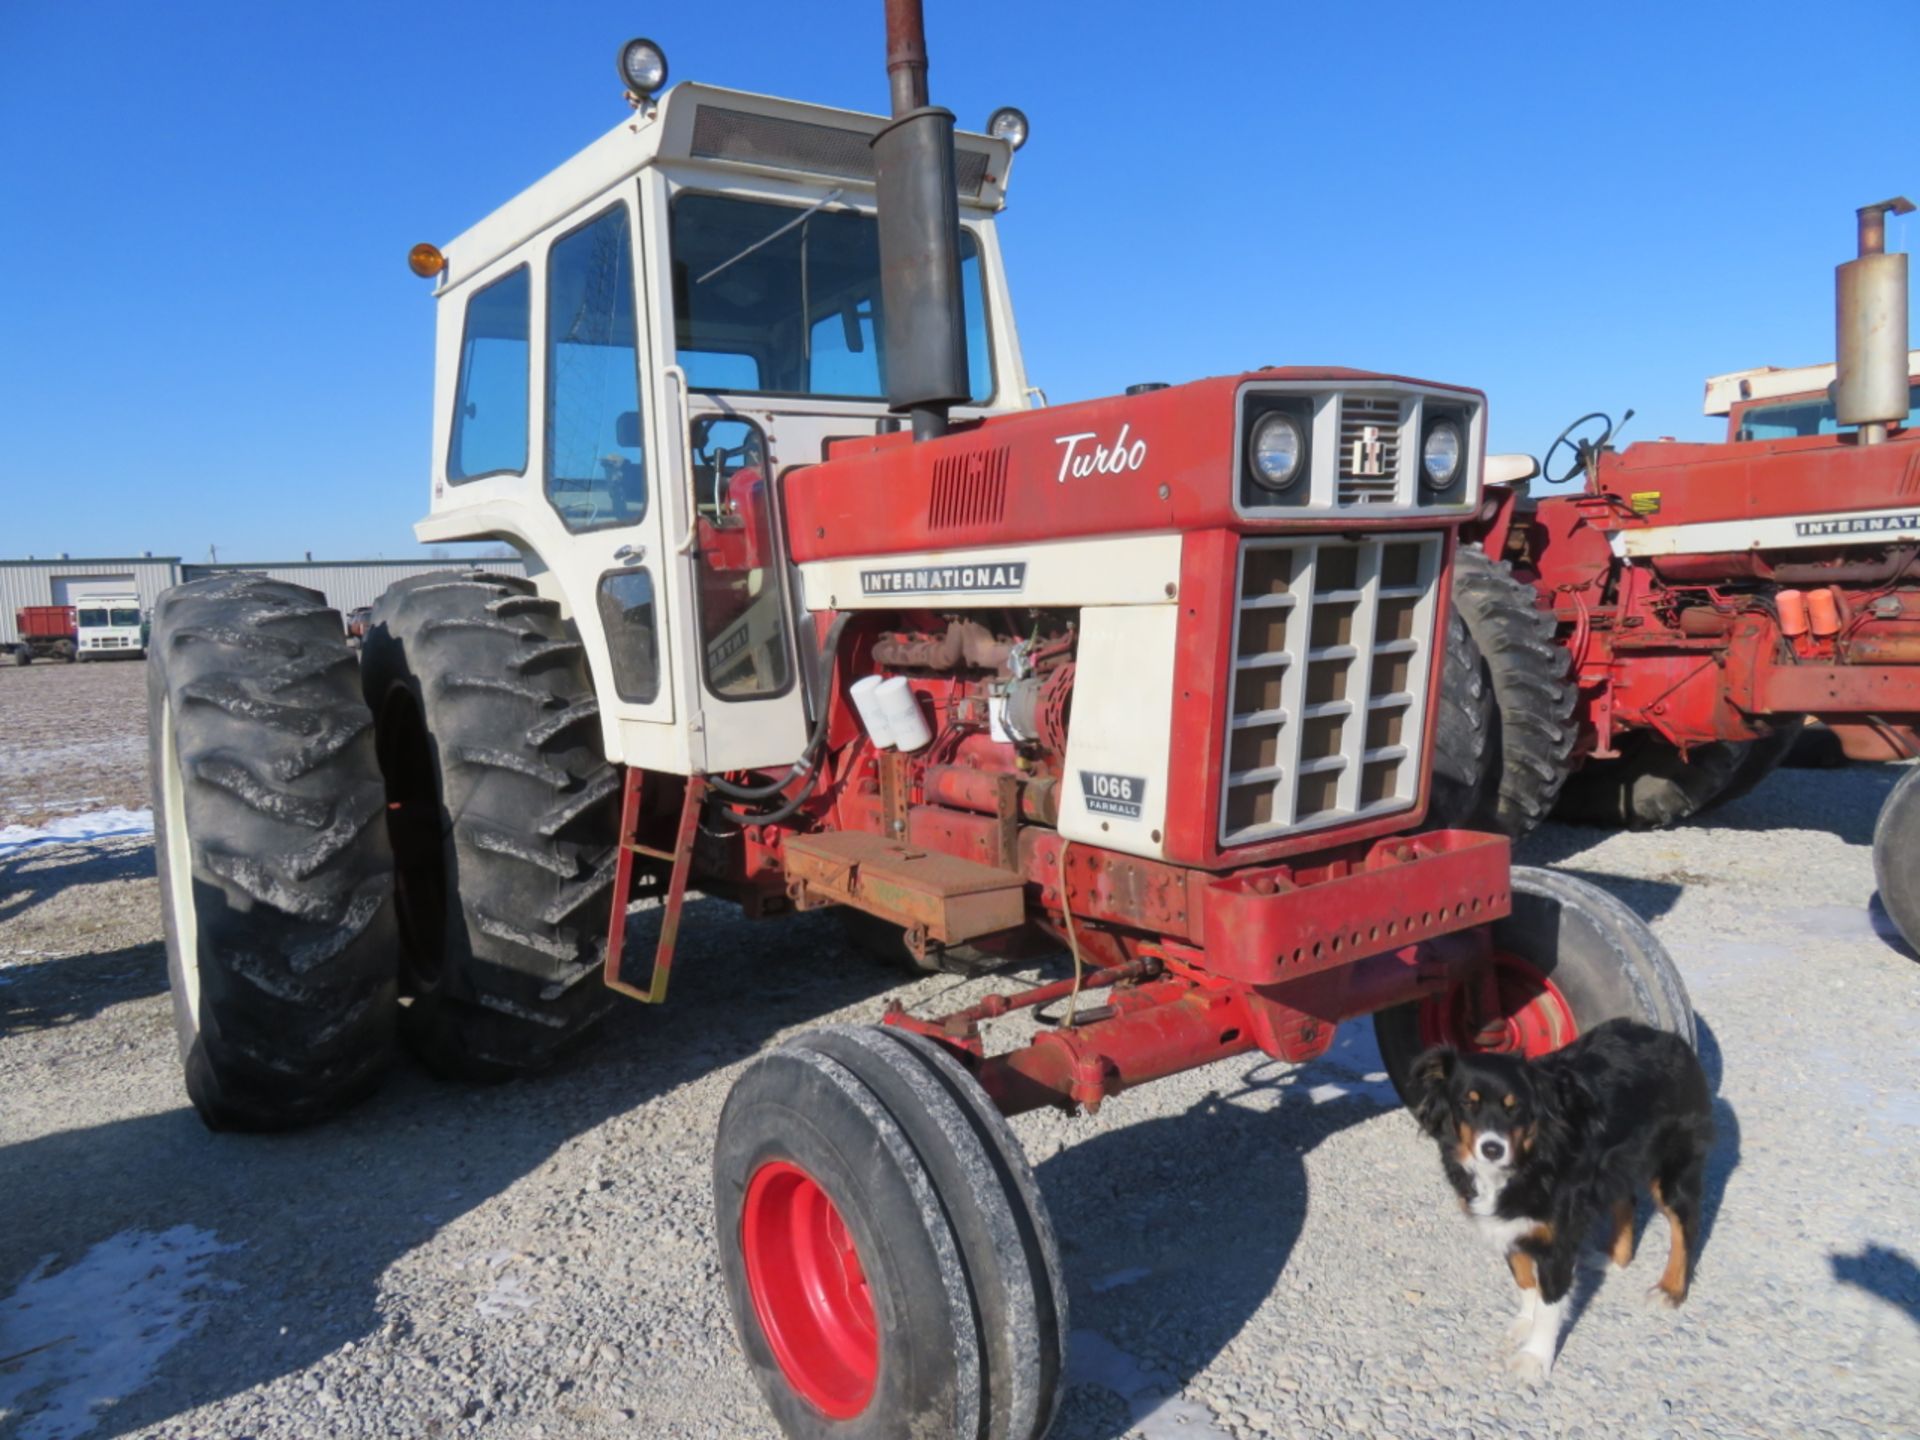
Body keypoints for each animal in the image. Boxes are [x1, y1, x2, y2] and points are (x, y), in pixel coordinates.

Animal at [1405, 1021, 1720, 1382]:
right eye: (1467, 1104)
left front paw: (1534, 1358)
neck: (1528, 1159)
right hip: (1617, 1162)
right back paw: (1613, 1258)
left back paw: (1670, 1289)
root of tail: (1672, 1039)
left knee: (1685, 1225)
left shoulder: (1557, 1240)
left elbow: (1549, 1303)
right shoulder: (1509, 1225)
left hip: (1673, 1168)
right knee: (1625, 1198)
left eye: (1514, 1106)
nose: (1492, 1149)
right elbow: (1524, 1279)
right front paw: (1524, 1322)